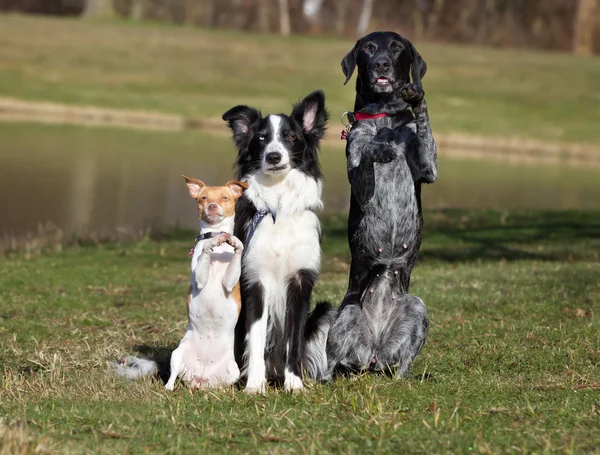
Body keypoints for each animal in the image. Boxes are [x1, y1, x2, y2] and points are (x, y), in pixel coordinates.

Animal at [163, 176, 247, 390]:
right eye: (203, 198)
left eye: (224, 197)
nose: (212, 206)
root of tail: (201, 377)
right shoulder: (200, 278)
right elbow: (205, 254)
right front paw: (210, 243)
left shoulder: (229, 282)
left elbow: (237, 250)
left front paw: (234, 242)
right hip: (178, 354)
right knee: (173, 375)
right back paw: (168, 387)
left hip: (233, 370)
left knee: (222, 385)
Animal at [324, 31, 436, 382]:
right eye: (368, 48)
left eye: (397, 47)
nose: (381, 64)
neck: (385, 114)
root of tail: (373, 352)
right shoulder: (359, 182)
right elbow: (367, 149)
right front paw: (380, 146)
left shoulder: (429, 168)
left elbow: (424, 127)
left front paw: (416, 100)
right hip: (344, 316)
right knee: (329, 362)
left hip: (416, 308)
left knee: (403, 365)